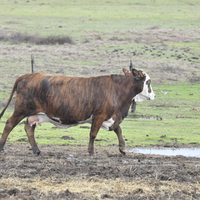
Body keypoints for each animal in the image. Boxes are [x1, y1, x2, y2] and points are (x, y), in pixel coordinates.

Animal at [0, 67, 155, 155]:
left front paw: (122, 148)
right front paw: (91, 151)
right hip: (21, 109)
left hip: (34, 114)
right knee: (9, 124)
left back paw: (36, 150)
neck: (117, 90)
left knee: (29, 128)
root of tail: (28, 76)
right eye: (148, 82)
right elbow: (93, 134)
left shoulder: (109, 117)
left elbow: (118, 130)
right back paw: (2, 147)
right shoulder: (99, 116)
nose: (153, 95)